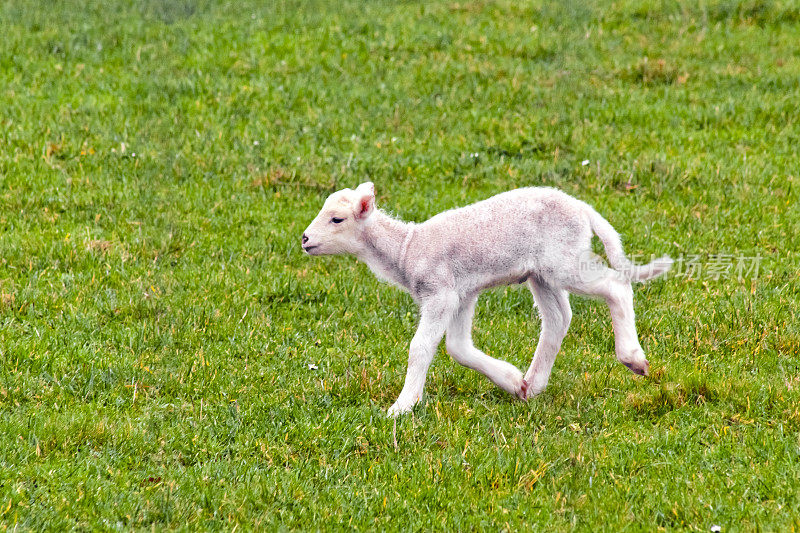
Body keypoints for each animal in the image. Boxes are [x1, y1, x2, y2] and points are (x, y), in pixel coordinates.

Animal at [304, 183, 672, 416]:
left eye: (337, 219)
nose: (305, 239)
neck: (406, 248)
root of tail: (583, 208)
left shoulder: (440, 292)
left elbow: (421, 347)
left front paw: (402, 407)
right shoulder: (462, 293)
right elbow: (458, 347)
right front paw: (510, 380)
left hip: (564, 261)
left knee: (615, 286)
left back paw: (633, 358)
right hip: (542, 272)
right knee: (558, 318)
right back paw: (531, 386)